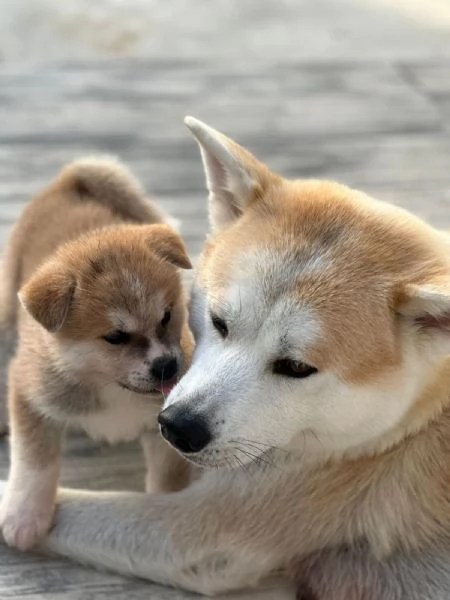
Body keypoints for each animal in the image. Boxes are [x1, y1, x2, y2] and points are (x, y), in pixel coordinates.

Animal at [0, 157, 192, 552]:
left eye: (167, 316)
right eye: (115, 337)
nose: (168, 367)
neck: (110, 387)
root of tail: (67, 181)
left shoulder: (163, 430)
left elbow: (167, 478)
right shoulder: (31, 394)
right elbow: (34, 462)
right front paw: (25, 516)